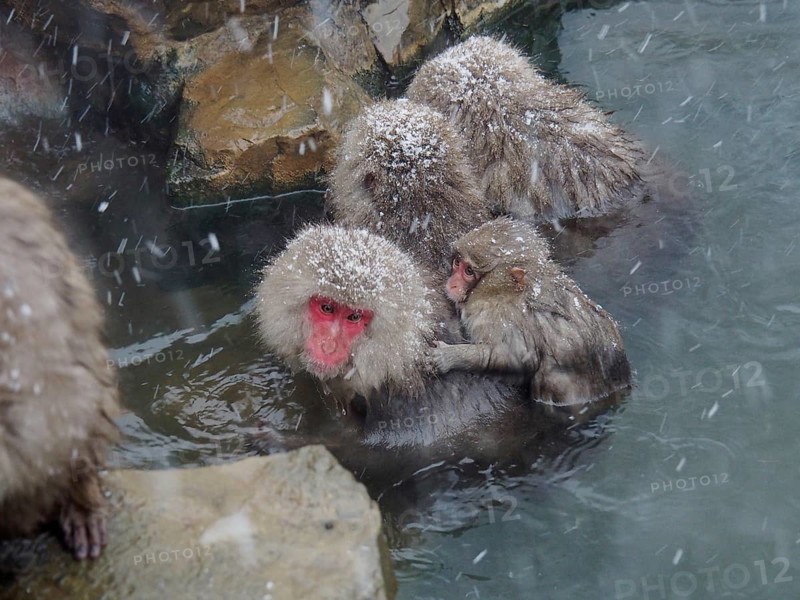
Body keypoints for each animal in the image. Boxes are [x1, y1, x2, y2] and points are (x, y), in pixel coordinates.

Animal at [432, 217, 631, 412]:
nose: (452, 284)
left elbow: (513, 357)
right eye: (457, 263)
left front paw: (448, 356)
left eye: (469, 271)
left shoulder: (498, 316)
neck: (505, 292)